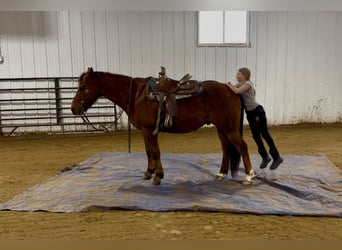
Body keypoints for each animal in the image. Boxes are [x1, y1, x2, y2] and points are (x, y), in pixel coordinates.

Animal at [71, 68, 255, 186]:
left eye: (82, 87)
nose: (73, 109)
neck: (137, 95)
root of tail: (232, 90)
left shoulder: (149, 130)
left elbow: (155, 152)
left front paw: (158, 176)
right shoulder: (145, 132)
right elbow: (148, 152)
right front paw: (149, 173)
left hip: (229, 128)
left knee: (242, 147)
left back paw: (248, 176)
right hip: (221, 128)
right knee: (226, 149)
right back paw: (220, 174)